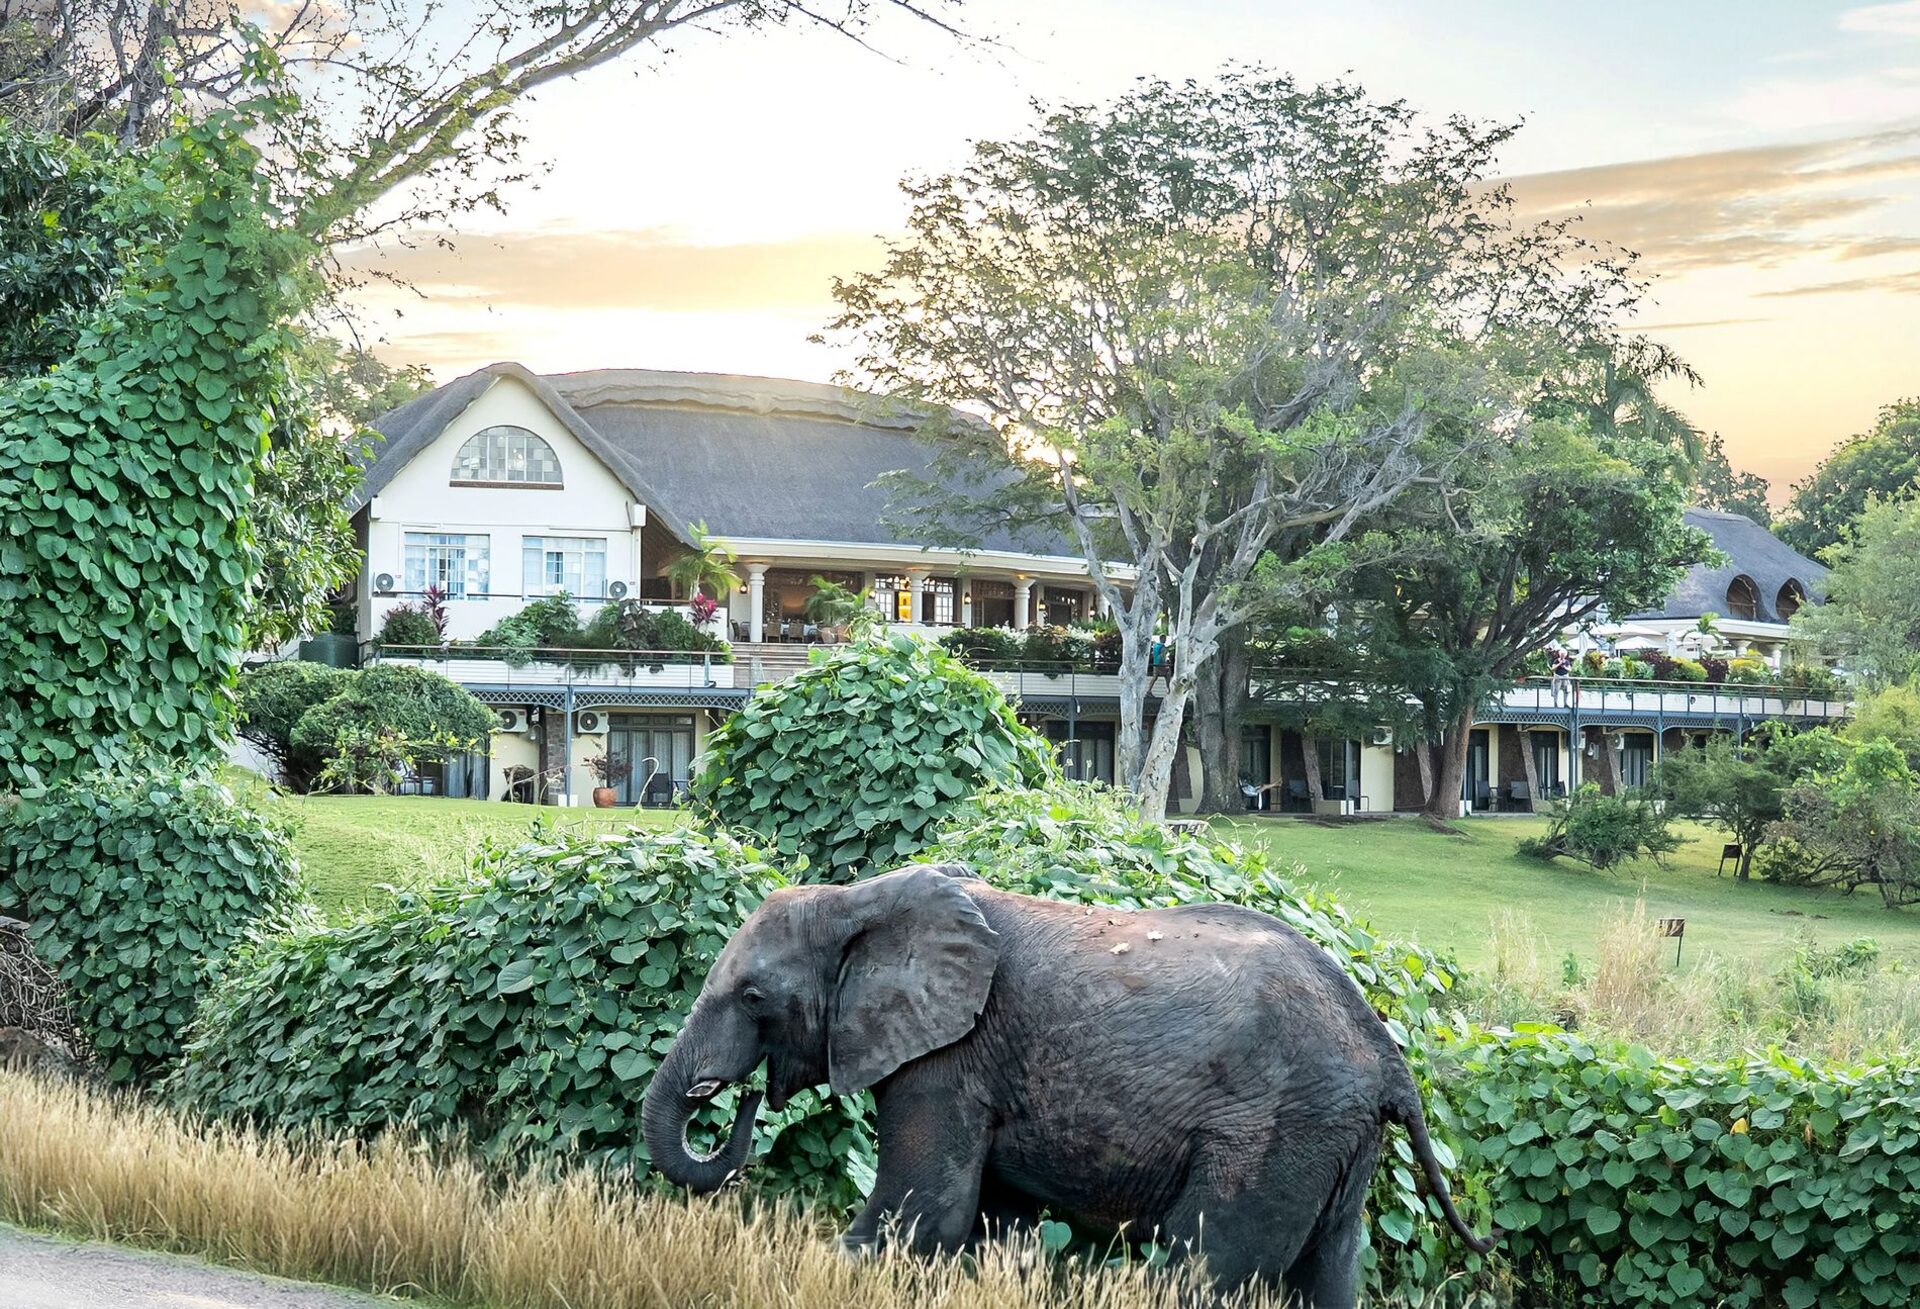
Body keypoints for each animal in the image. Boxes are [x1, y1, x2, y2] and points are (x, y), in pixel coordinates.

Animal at [641, 862, 1494, 1307]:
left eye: (754, 997)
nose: (740, 1096)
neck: (859, 897)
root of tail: (1389, 1058)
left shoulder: (949, 1060)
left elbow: (922, 1218)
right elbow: (995, 1228)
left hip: (1273, 1135)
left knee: (1200, 1267)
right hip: (1336, 1142)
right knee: (1330, 1273)